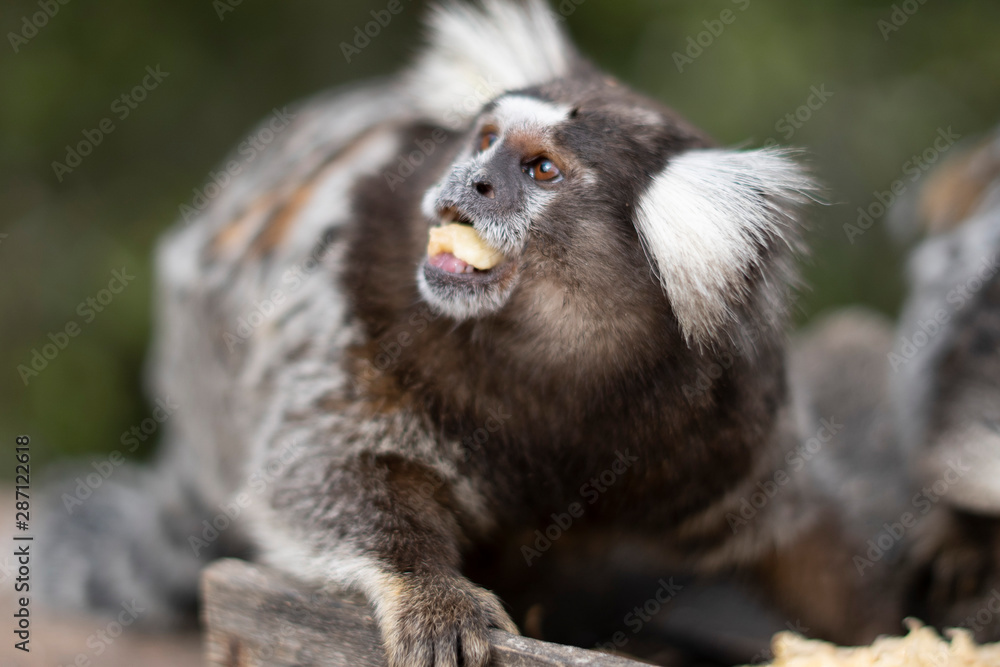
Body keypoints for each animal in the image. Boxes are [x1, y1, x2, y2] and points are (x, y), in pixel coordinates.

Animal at [36, 1, 926, 665]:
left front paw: (885, 624)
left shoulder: (724, 416)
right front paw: (431, 594)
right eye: (486, 142)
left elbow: (795, 533)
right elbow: (326, 475)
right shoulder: (351, 326)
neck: (546, 367)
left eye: (541, 170)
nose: (469, 182)